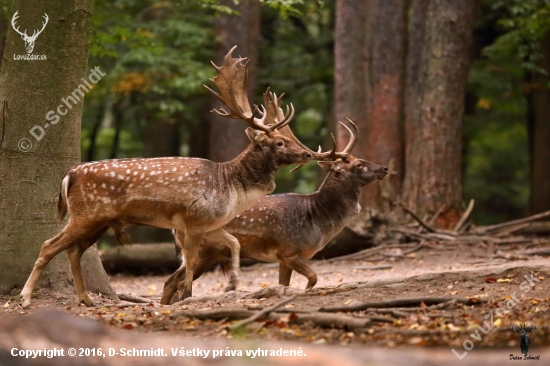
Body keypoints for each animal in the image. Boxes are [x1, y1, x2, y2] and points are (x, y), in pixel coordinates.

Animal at [22, 46, 350, 308]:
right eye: (279, 142)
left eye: (289, 137)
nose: (308, 154)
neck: (230, 187)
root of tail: (70, 173)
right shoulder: (192, 220)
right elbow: (189, 260)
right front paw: (187, 296)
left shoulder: (210, 224)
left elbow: (234, 242)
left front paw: (231, 283)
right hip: (86, 214)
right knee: (49, 245)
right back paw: (26, 298)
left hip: (97, 221)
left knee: (74, 251)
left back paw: (86, 299)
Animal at [162, 118, 390, 304]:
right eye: (359, 164)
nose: (384, 168)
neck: (317, 220)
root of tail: (173, 227)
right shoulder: (288, 251)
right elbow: (313, 278)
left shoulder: (284, 259)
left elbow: (284, 284)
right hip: (204, 251)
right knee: (177, 281)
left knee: (170, 281)